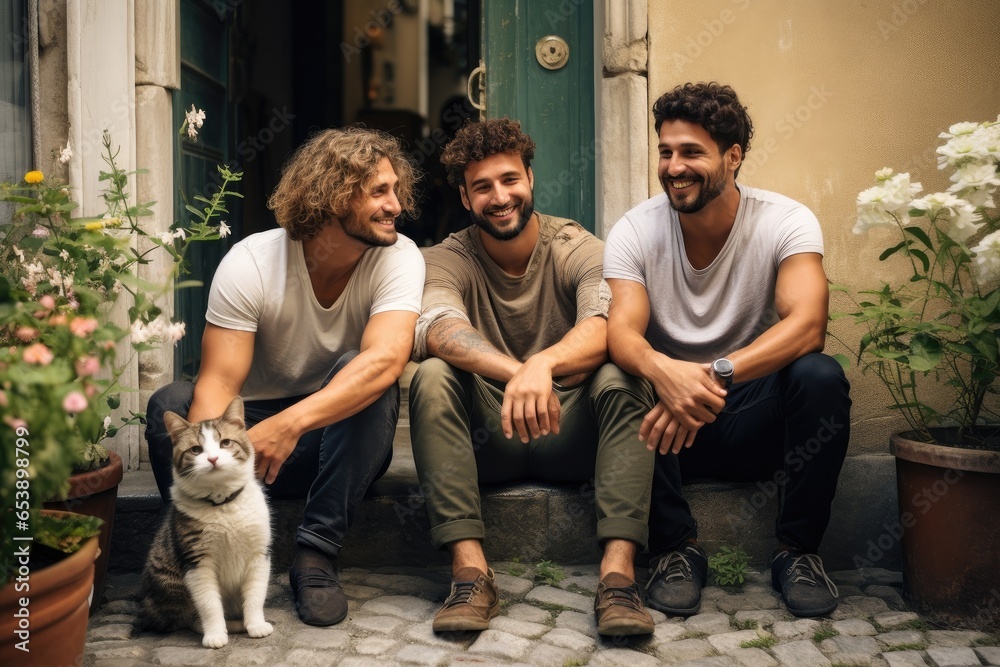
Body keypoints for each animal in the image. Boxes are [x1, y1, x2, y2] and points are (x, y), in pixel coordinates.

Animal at [140, 400, 274, 648]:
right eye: (196, 450)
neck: (223, 504)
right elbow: (209, 604)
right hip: (170, 581)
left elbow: (255, 595)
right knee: (187, 619)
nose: (213, 459)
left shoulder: (258, 555)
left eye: (225, 443)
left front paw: (256, 624)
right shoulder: (197, 561)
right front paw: (215, 634)